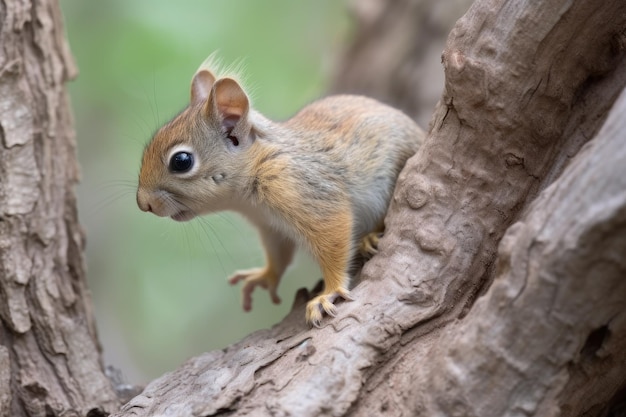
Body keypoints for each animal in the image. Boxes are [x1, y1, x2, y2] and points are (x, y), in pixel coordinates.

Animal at [134, 57, 422, 324]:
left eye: (181, 161)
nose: (143, 203)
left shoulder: (310, 194)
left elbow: (333, 242)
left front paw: (328, 292)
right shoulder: (270, 226)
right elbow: (279, 254)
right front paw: (265, 276)